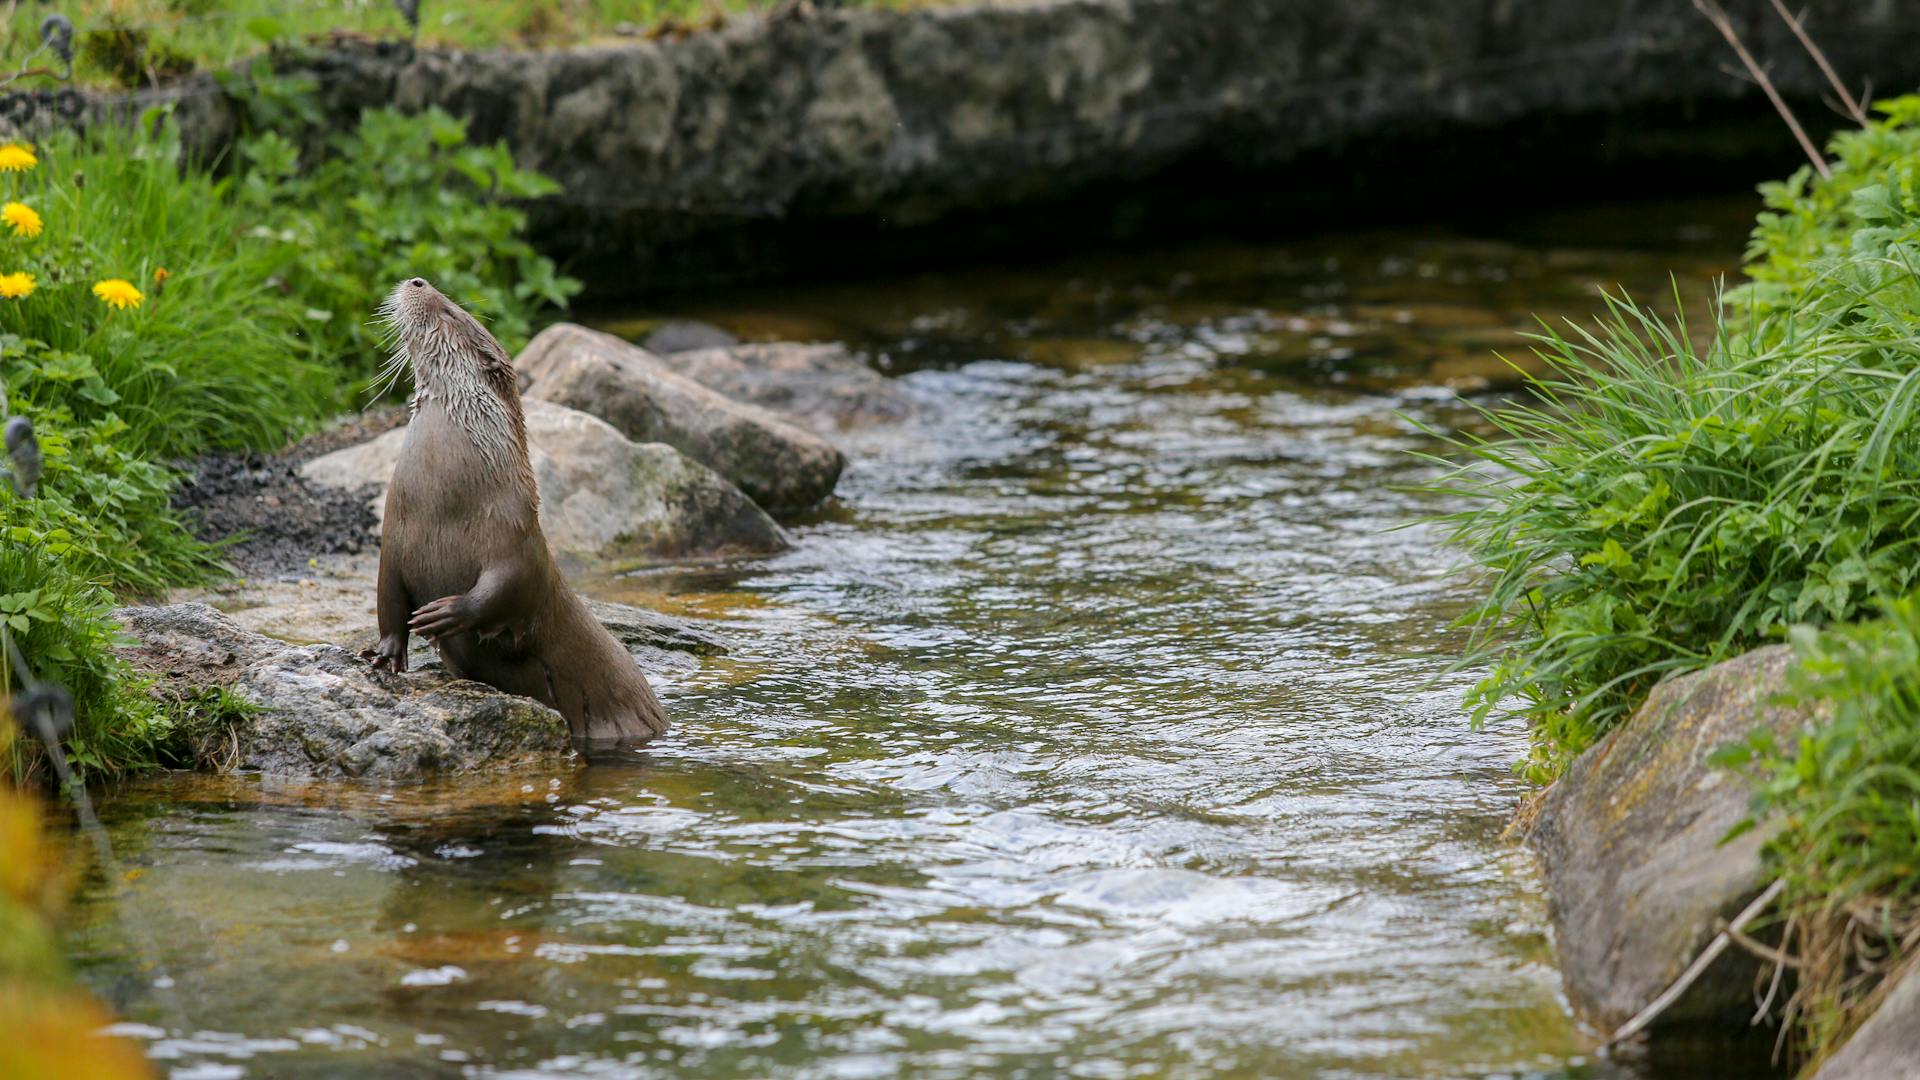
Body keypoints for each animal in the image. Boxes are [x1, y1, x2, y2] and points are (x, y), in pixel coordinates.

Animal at [362, 276, 672, 745]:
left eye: (450, 311)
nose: (418, 280)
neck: (443, 508)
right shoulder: (393, 541)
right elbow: (388, 602)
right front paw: (385, 654)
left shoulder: (516, 538)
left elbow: (510, 587)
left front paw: (449, 612)